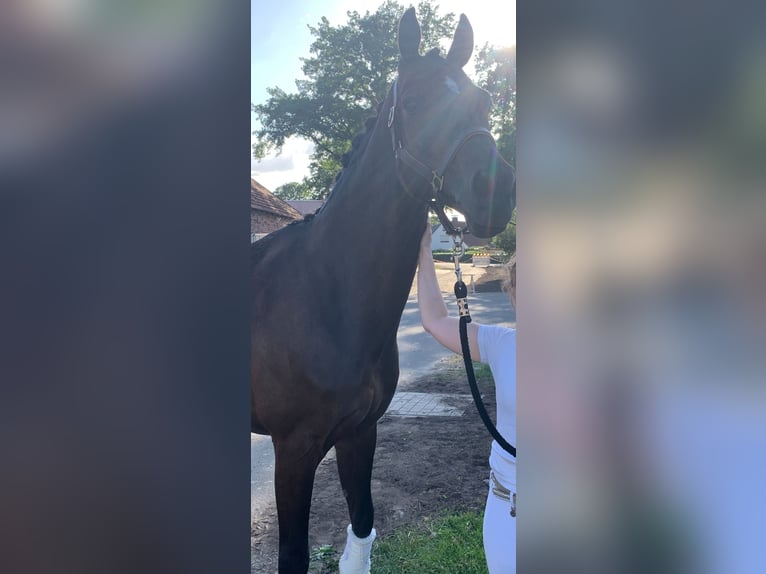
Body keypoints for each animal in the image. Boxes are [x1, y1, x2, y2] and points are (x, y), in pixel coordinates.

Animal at [254, 7, 516, 572]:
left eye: (483, 101)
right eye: (413, 102)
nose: (497, 192)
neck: (326, 296)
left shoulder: (360, 433)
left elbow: (362, 531)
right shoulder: (293, 452)